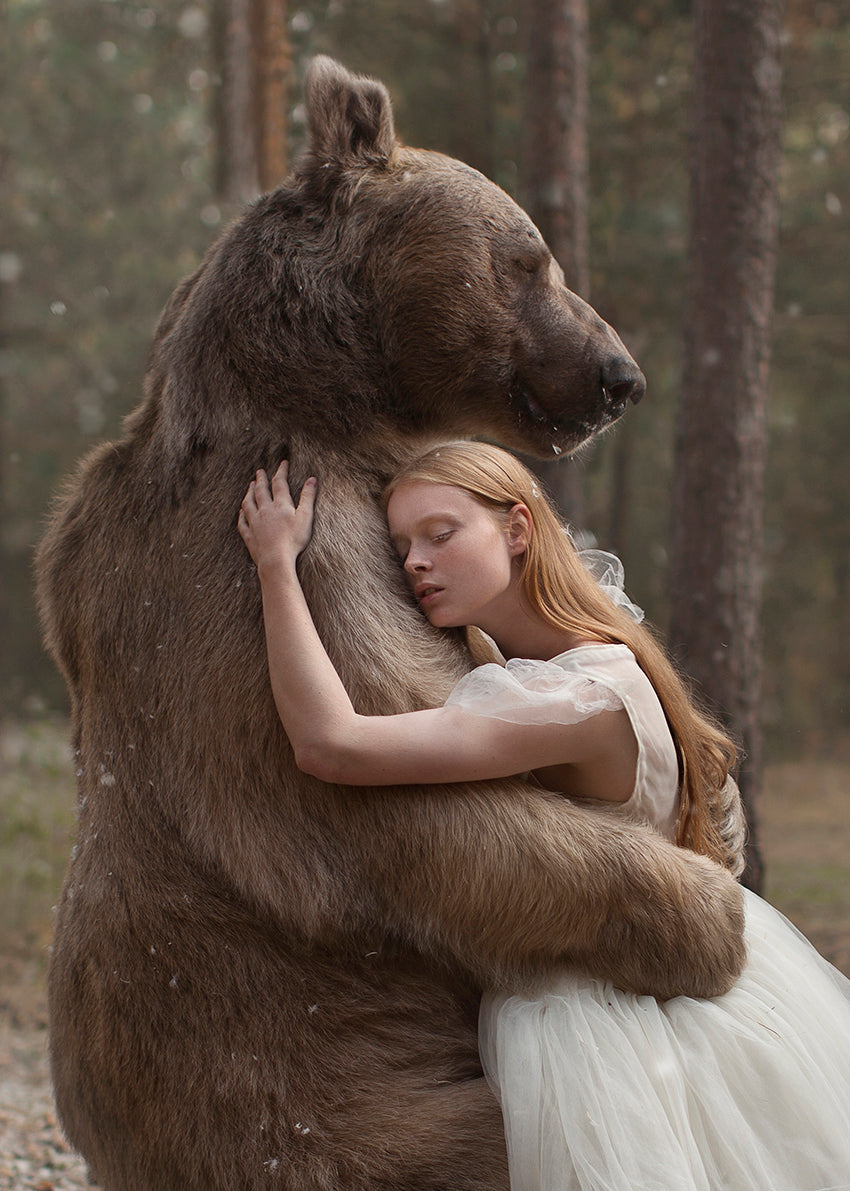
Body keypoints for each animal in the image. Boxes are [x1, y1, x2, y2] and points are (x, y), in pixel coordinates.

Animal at [36, 57, 745, 1191]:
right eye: (528, 258)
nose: (620, 375)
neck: (329, 403)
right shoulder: (295, 572)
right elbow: (415, 798)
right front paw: (711, 912)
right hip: (332, 1109)